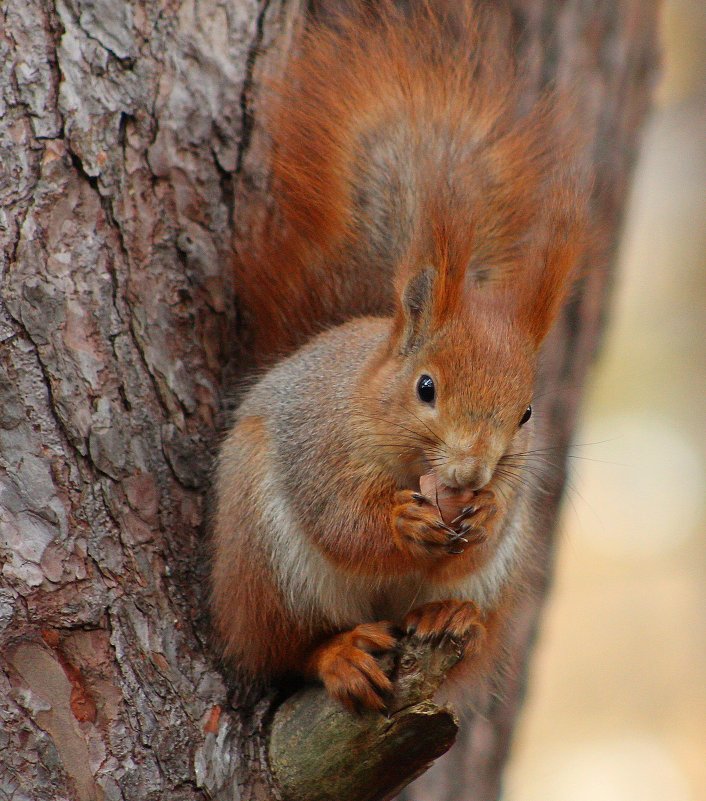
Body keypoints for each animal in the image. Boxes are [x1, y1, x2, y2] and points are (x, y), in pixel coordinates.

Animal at [212, 1, 584, 712]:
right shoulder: (317, 441)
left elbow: (485, 534)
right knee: (286, 650)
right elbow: (340, 520)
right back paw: (340, 654)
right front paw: (401, 523)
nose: (470, 475)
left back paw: (448, 613)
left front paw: (485, 514)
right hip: (266, 563)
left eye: (526, 414)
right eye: (426, 388)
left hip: (498, 588)